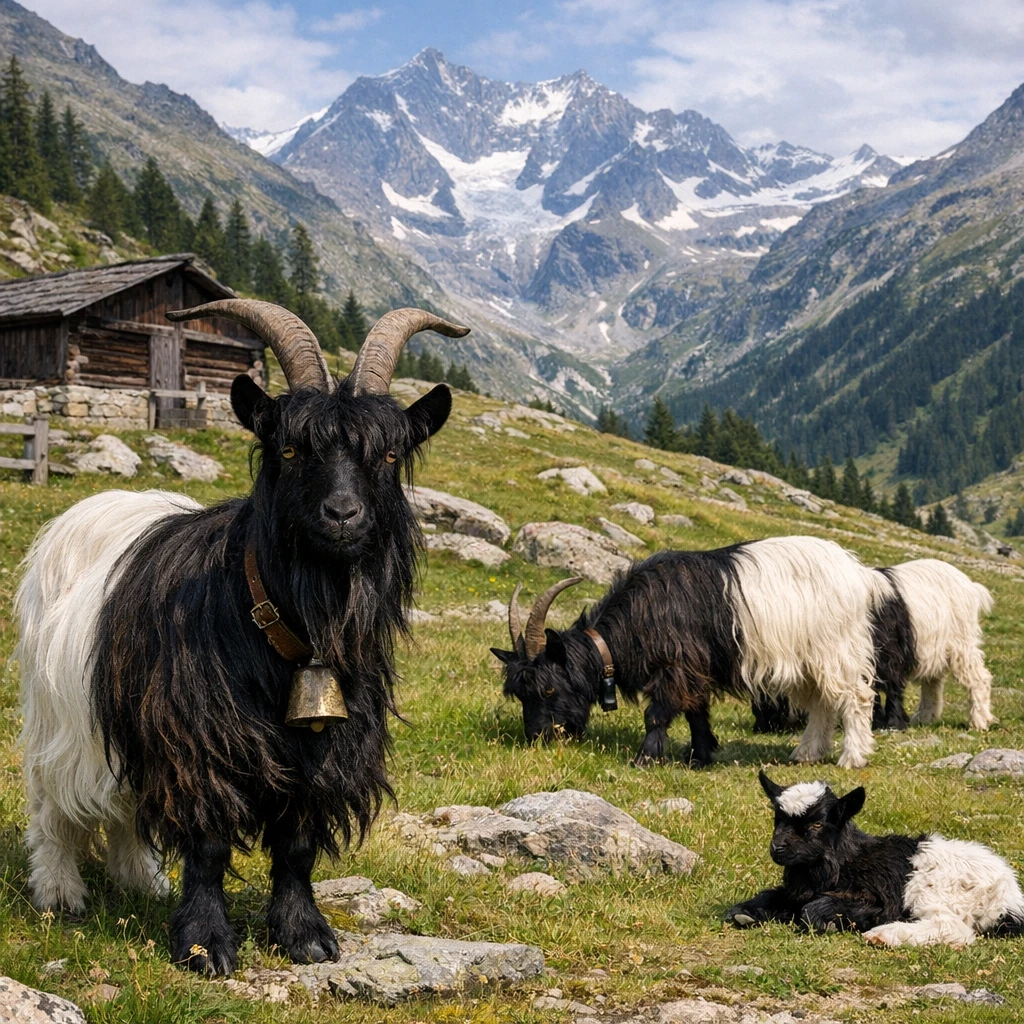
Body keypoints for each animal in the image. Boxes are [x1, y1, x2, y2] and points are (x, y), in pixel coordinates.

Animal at [16, 301, 468, 976]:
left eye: (388, 456)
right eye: (289, 448)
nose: (343, 515)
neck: (290, 637)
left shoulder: (325, 748)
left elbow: (298, 843)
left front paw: (305, 935)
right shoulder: (197, 738)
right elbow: (206, 845)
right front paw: (205, 945)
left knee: (124, 807)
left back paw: (140, 881)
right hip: (57, 716)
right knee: (51, 806)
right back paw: (59, 892)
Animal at [491, 536, 890, 769]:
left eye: (548, 689)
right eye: (520, 694)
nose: (537, 737)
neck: (640, 616)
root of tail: (859, 574)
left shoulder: (677, 664)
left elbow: (657, 714)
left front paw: (646, 758)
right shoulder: (696, 668)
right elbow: (696, 711)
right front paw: (701, 755)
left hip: (835, 647)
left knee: (855, 697)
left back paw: (852, 758)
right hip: (809, 659)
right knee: (823, 702)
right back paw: (806, 754)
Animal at [727, 771, 1024, 946]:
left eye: (817, 824)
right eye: (777, 818)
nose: (777, 848)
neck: (845, 861)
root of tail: (1008, 898)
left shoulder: (878, 897)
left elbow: (813, 909)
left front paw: (831, 922)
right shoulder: (798, 891)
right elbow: (771, 897)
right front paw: (745, 913)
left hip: (935, 892)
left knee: (951, 927)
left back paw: (882, 935)